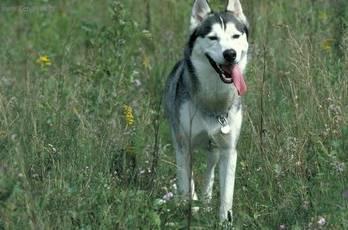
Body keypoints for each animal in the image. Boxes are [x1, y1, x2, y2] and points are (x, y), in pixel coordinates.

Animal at [164, 0, 249, 223]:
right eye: (213, 38)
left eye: (235, 36)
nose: (230, 54)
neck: (213, 103)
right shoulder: (185, 146)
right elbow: (187, 183)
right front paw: (189, 211)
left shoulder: (229, 150)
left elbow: (227, 193)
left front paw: (224, 222)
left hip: (214, 150)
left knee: (210, 171)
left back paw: (206, 200)